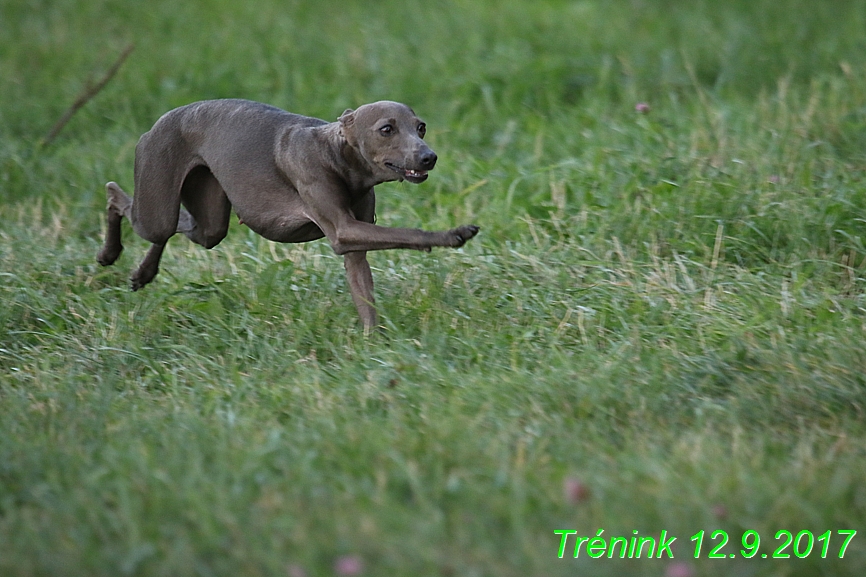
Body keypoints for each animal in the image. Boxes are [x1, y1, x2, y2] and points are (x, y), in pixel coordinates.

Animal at [99, 100, 480, 328]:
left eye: (420, 127)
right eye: (386, 129)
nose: (429, 157)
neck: (337, 154)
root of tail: (159, 122)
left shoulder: (355, 242)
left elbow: (363, 291)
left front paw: (375, 346)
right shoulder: (343, 229)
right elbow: (407, 233)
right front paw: (452, 234)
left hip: (209, 219)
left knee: (183, 229)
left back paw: (143, 272)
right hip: (156, 201)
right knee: (119, 198)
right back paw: (109, 251)